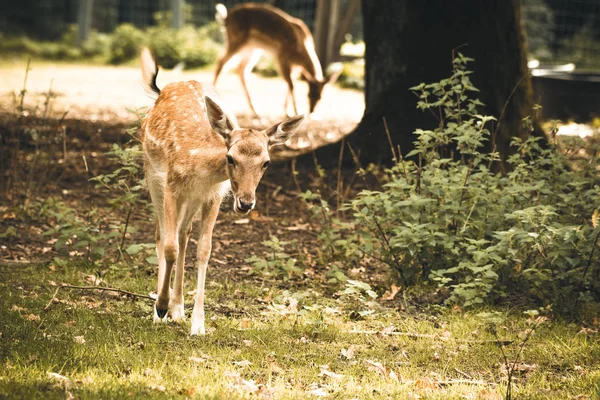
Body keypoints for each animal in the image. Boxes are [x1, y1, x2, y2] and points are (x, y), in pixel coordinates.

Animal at [138, 48, 302, 336]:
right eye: (230, 158)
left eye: (266, 162)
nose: (246, 203)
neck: (200, 167)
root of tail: (162, 90)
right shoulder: (170, 184)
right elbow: (168, 246)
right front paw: (160, 306)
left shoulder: (214, 195)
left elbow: (204, 249)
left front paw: (198, 324)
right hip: (151, 173)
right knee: (162, 234)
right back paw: (162, 311)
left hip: (192, 198)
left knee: (183, 234)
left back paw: (178, 310)